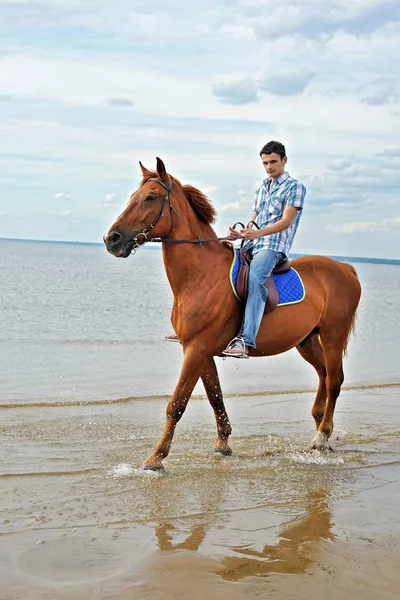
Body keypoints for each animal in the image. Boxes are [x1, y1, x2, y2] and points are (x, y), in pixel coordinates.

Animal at [104, 158, 362, 468]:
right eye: (134, 196)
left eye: (151, 198)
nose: (112, 239)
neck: (201, 275)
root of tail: (345, 268)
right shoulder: (199, 350)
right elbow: (215, 397)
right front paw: (222, 445)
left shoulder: (197, 349)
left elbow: (176, 403)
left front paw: (155, 458)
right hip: (307, 340)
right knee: (323, 374)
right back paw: (320, 430)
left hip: (334, 335)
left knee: (334, 381)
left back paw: (321, 436)